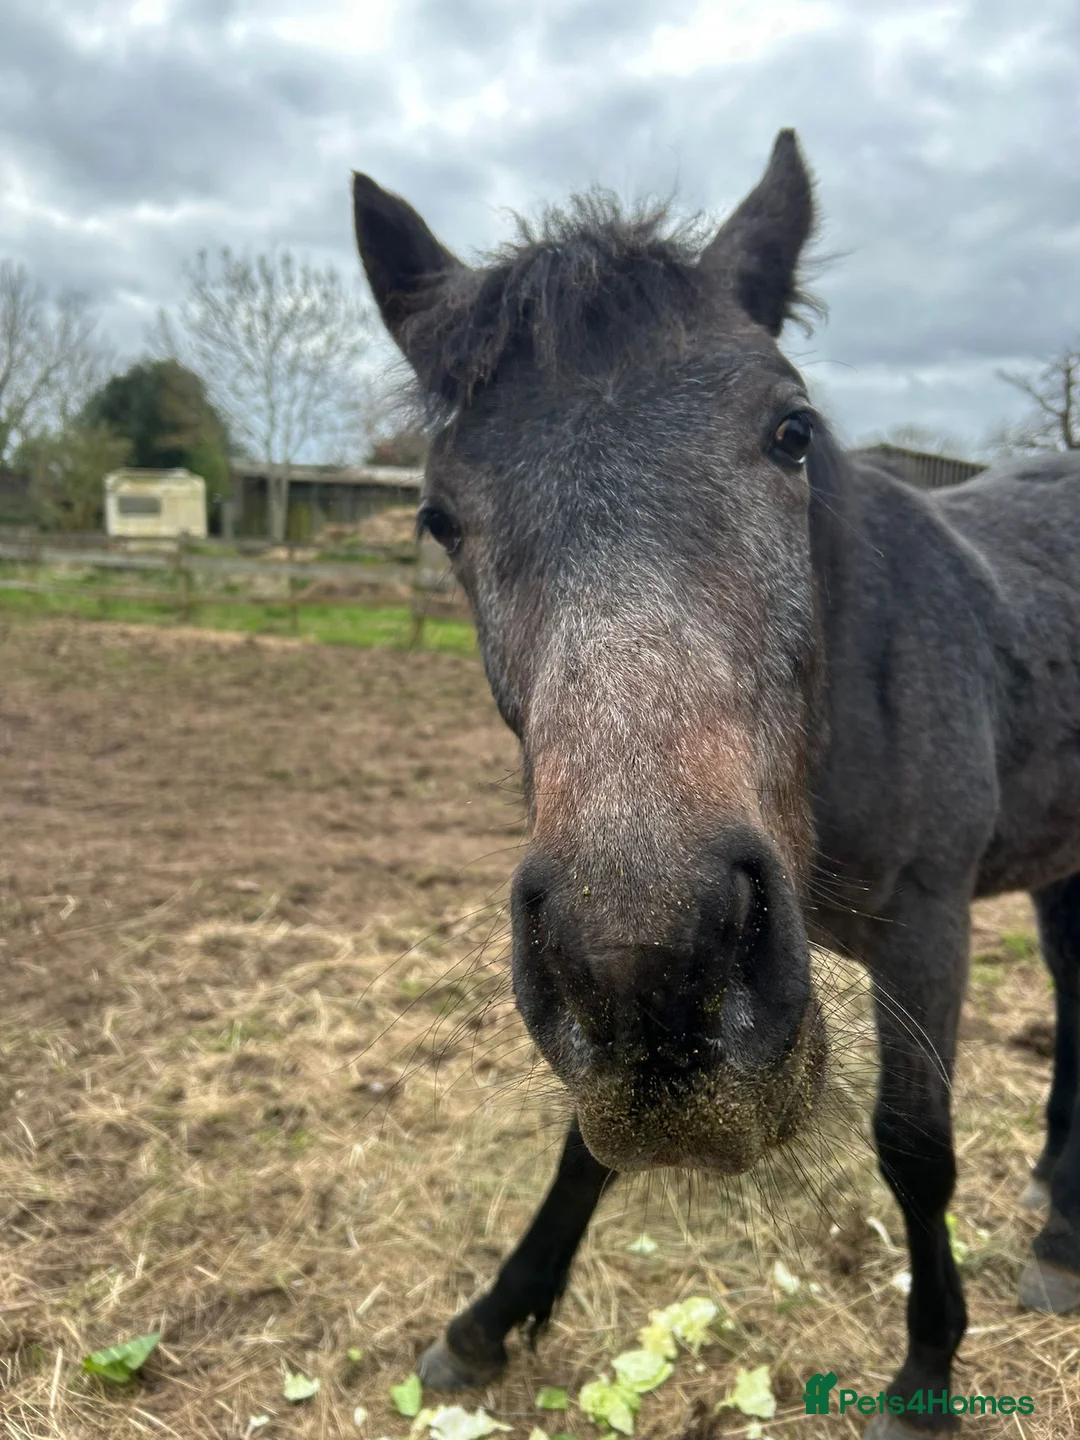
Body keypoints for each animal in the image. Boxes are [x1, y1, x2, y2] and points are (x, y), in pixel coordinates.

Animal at [352, 131, 1080, 1437]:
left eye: (791, 432)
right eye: (438, 517)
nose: (656, 959)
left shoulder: (930, 927)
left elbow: (917, 1146)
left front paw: (928, 1373)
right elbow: (584, 1144)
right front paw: (489, 1321)